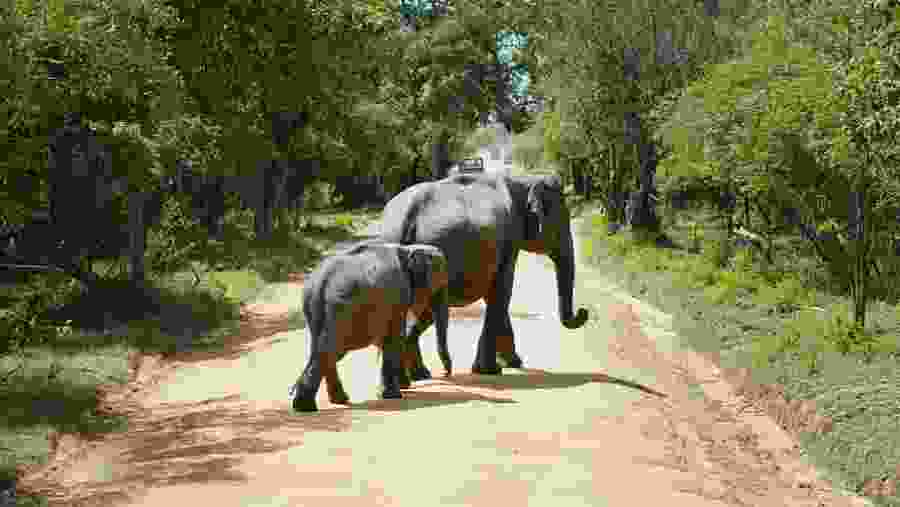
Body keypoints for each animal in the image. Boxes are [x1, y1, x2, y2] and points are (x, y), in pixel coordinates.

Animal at [290, 241, 451, 412]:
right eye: (440, 283)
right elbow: (395, 336)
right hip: (342, 309)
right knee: (331, 350)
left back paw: (333, 401)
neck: (408, 249)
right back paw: (306, 407)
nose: (445, 374)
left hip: (316, 308)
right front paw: (394, 394)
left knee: (323, 350)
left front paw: (398, 388)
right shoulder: (398, 294)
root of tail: (320, 281)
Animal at [378, 172, 589, 378]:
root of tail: (402, 220)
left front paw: (512, 363)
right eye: (562, 223)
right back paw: (418, 375)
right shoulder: (508, 238)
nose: (584, 311)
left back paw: (419, 375)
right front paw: (490, 370)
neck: (523, 180)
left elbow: (495, 295)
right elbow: (502, 291)